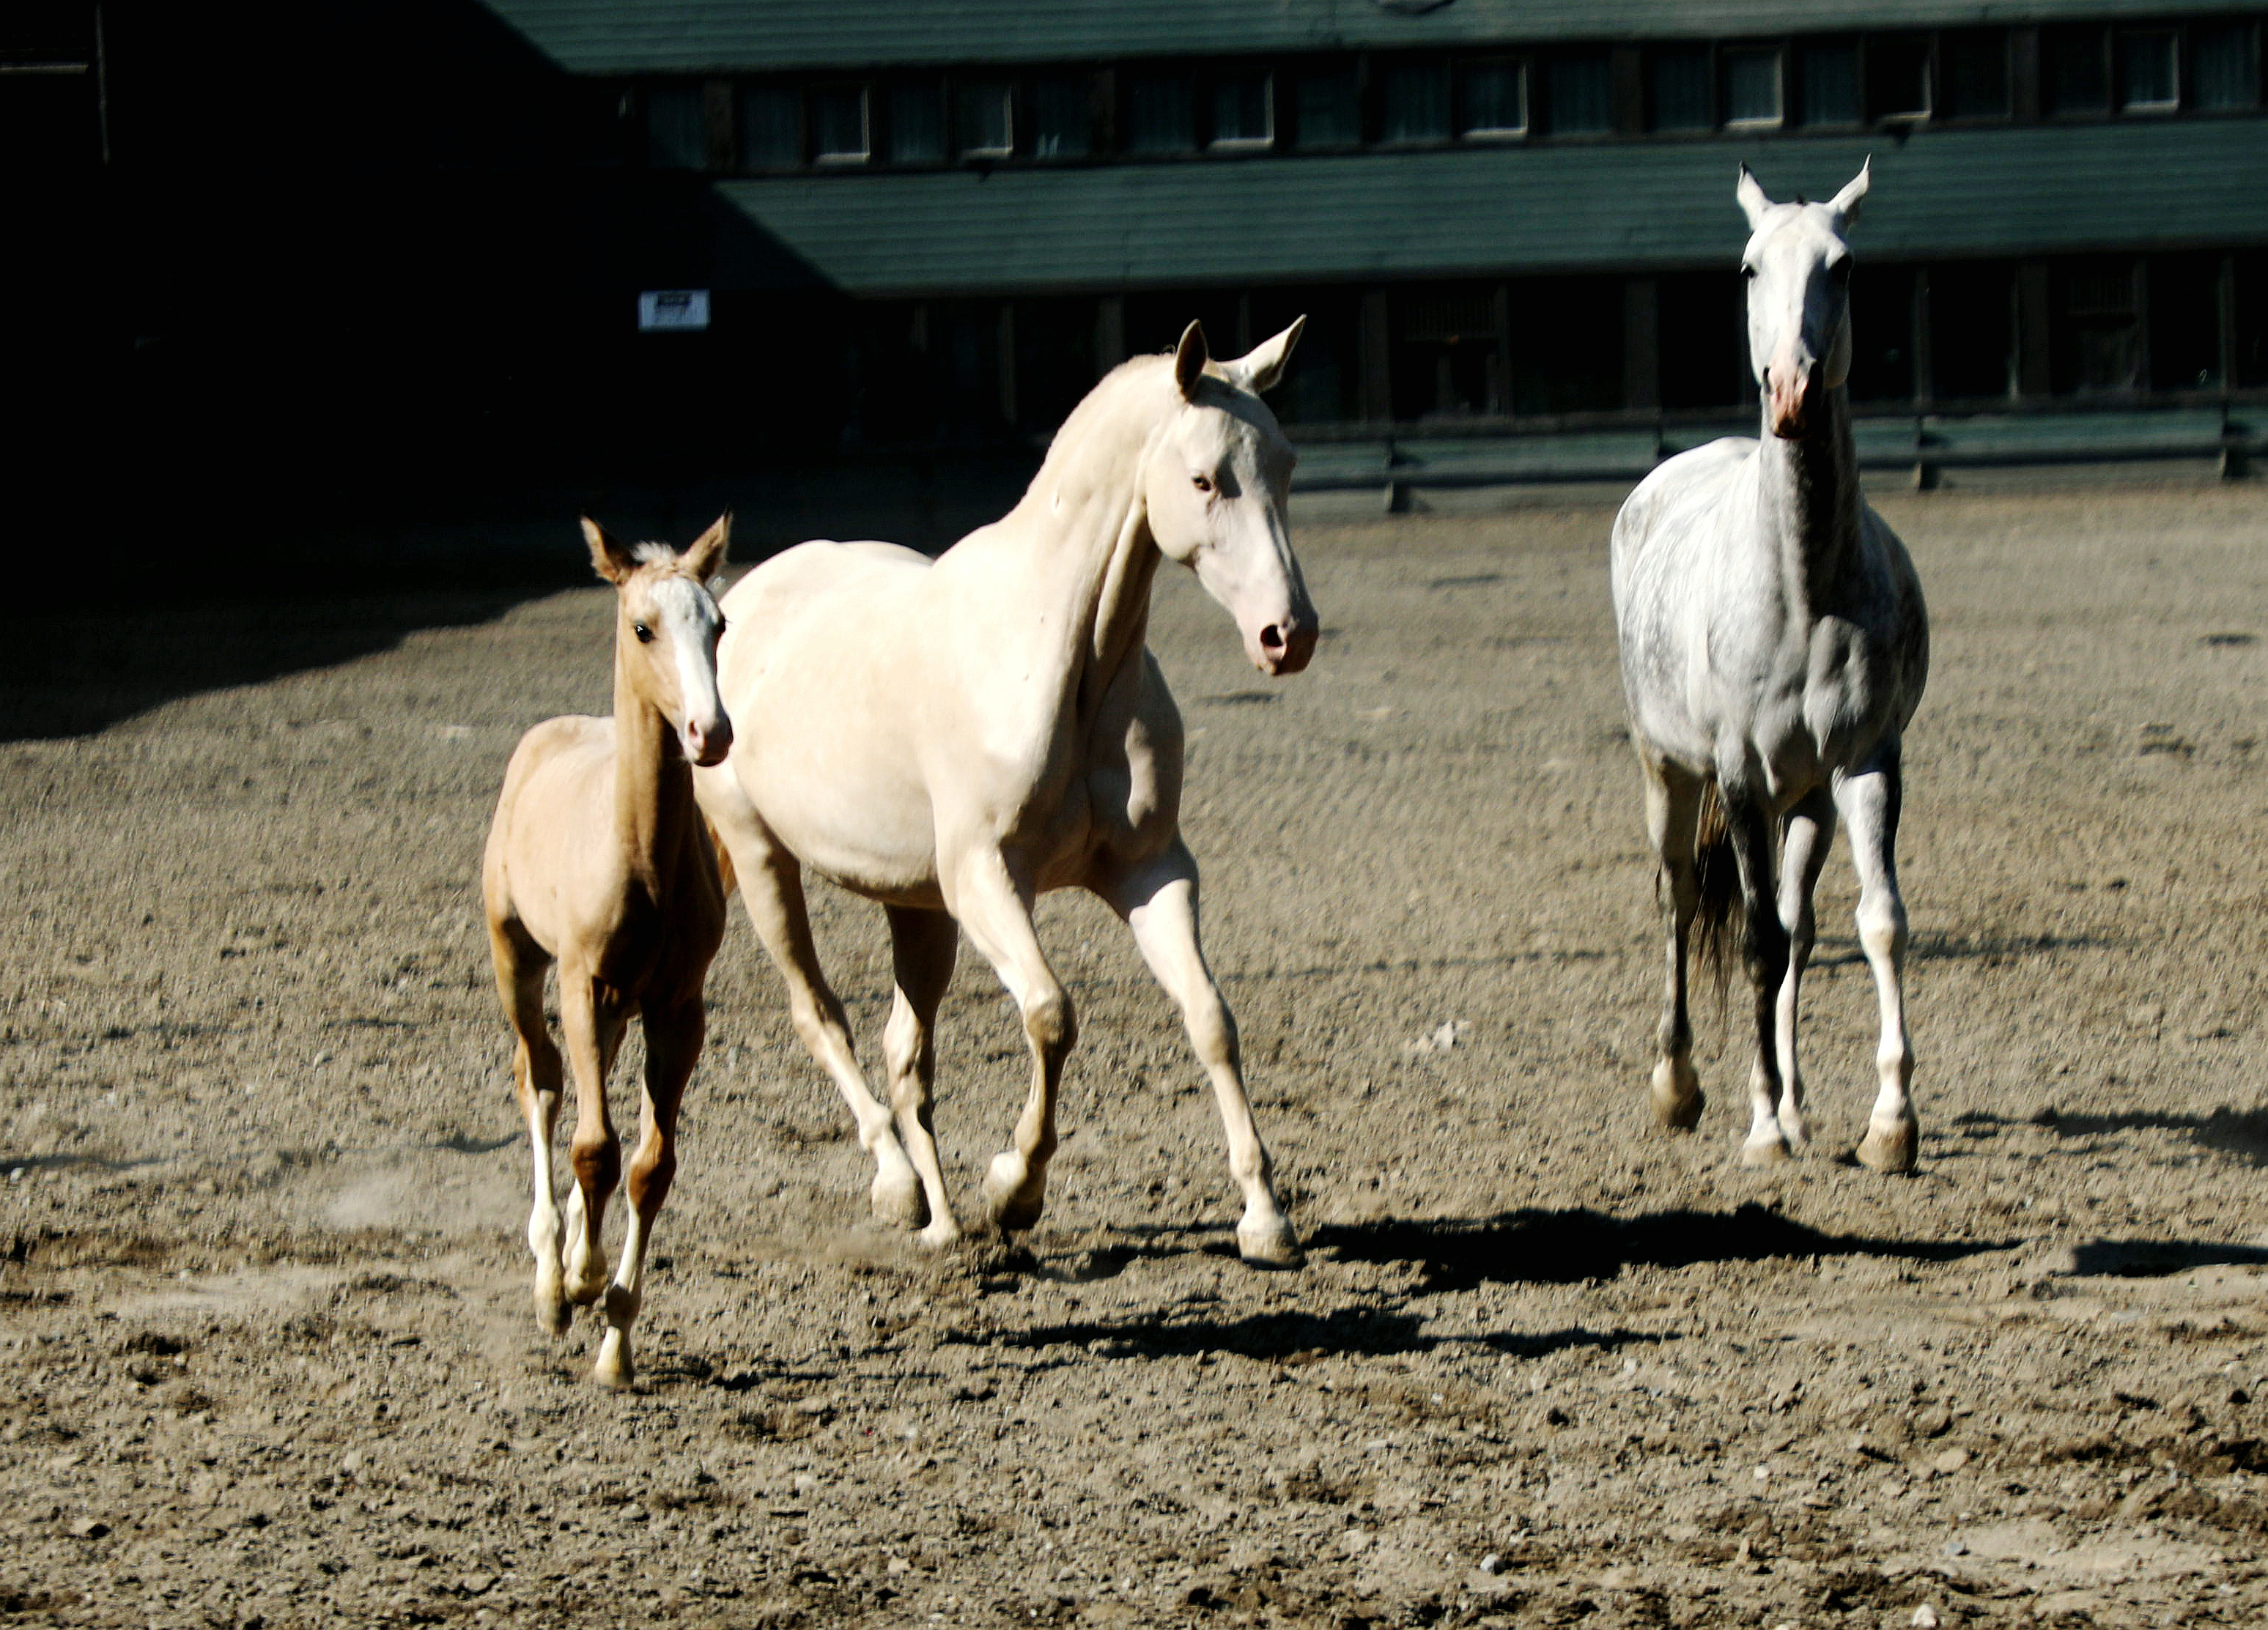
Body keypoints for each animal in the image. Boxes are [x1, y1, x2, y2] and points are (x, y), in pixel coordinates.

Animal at [485, 516, 734, 1387]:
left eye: (717, 625)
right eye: (643, 627)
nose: (709, 731)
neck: (642, 856)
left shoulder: (678, 1008)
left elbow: (650, 1166)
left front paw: (617, 1341)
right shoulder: (582, 985)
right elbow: (593, 1148)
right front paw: (579, 1285)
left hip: (623, 1007)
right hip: (520, 963)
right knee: (540, 1082)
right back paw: (549, 1269)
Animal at [698, 315, 1324, 1260]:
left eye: (1283, 467)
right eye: (1203, 479)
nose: (1287, 634)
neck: (1063, 656)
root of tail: (742, 601)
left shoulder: (1150, 871)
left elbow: (1210, 1017)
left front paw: (1263, 1215)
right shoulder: (986, 879)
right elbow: (1050, 1014)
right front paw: (1012, 1188)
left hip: (915, 906)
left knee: (904, 1051)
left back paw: (939, 1220)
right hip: (764, 858)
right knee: (822, 1016)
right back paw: (898, 1187)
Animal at [1614, 160, 1932, 1169]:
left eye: (1843, 264)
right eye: (1750, 266)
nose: (1790, 390)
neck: (1801, 590)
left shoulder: (1866, 761)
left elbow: (1875, 924)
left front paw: (1888, 1123)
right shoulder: (1738, 774)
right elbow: (1752, 941)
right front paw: (1758, 1130)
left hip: (1808, 801)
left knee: (1801, 928)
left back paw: (1796, 1105)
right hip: (1668, 773)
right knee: (1680, 900)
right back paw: (1681, 1086)